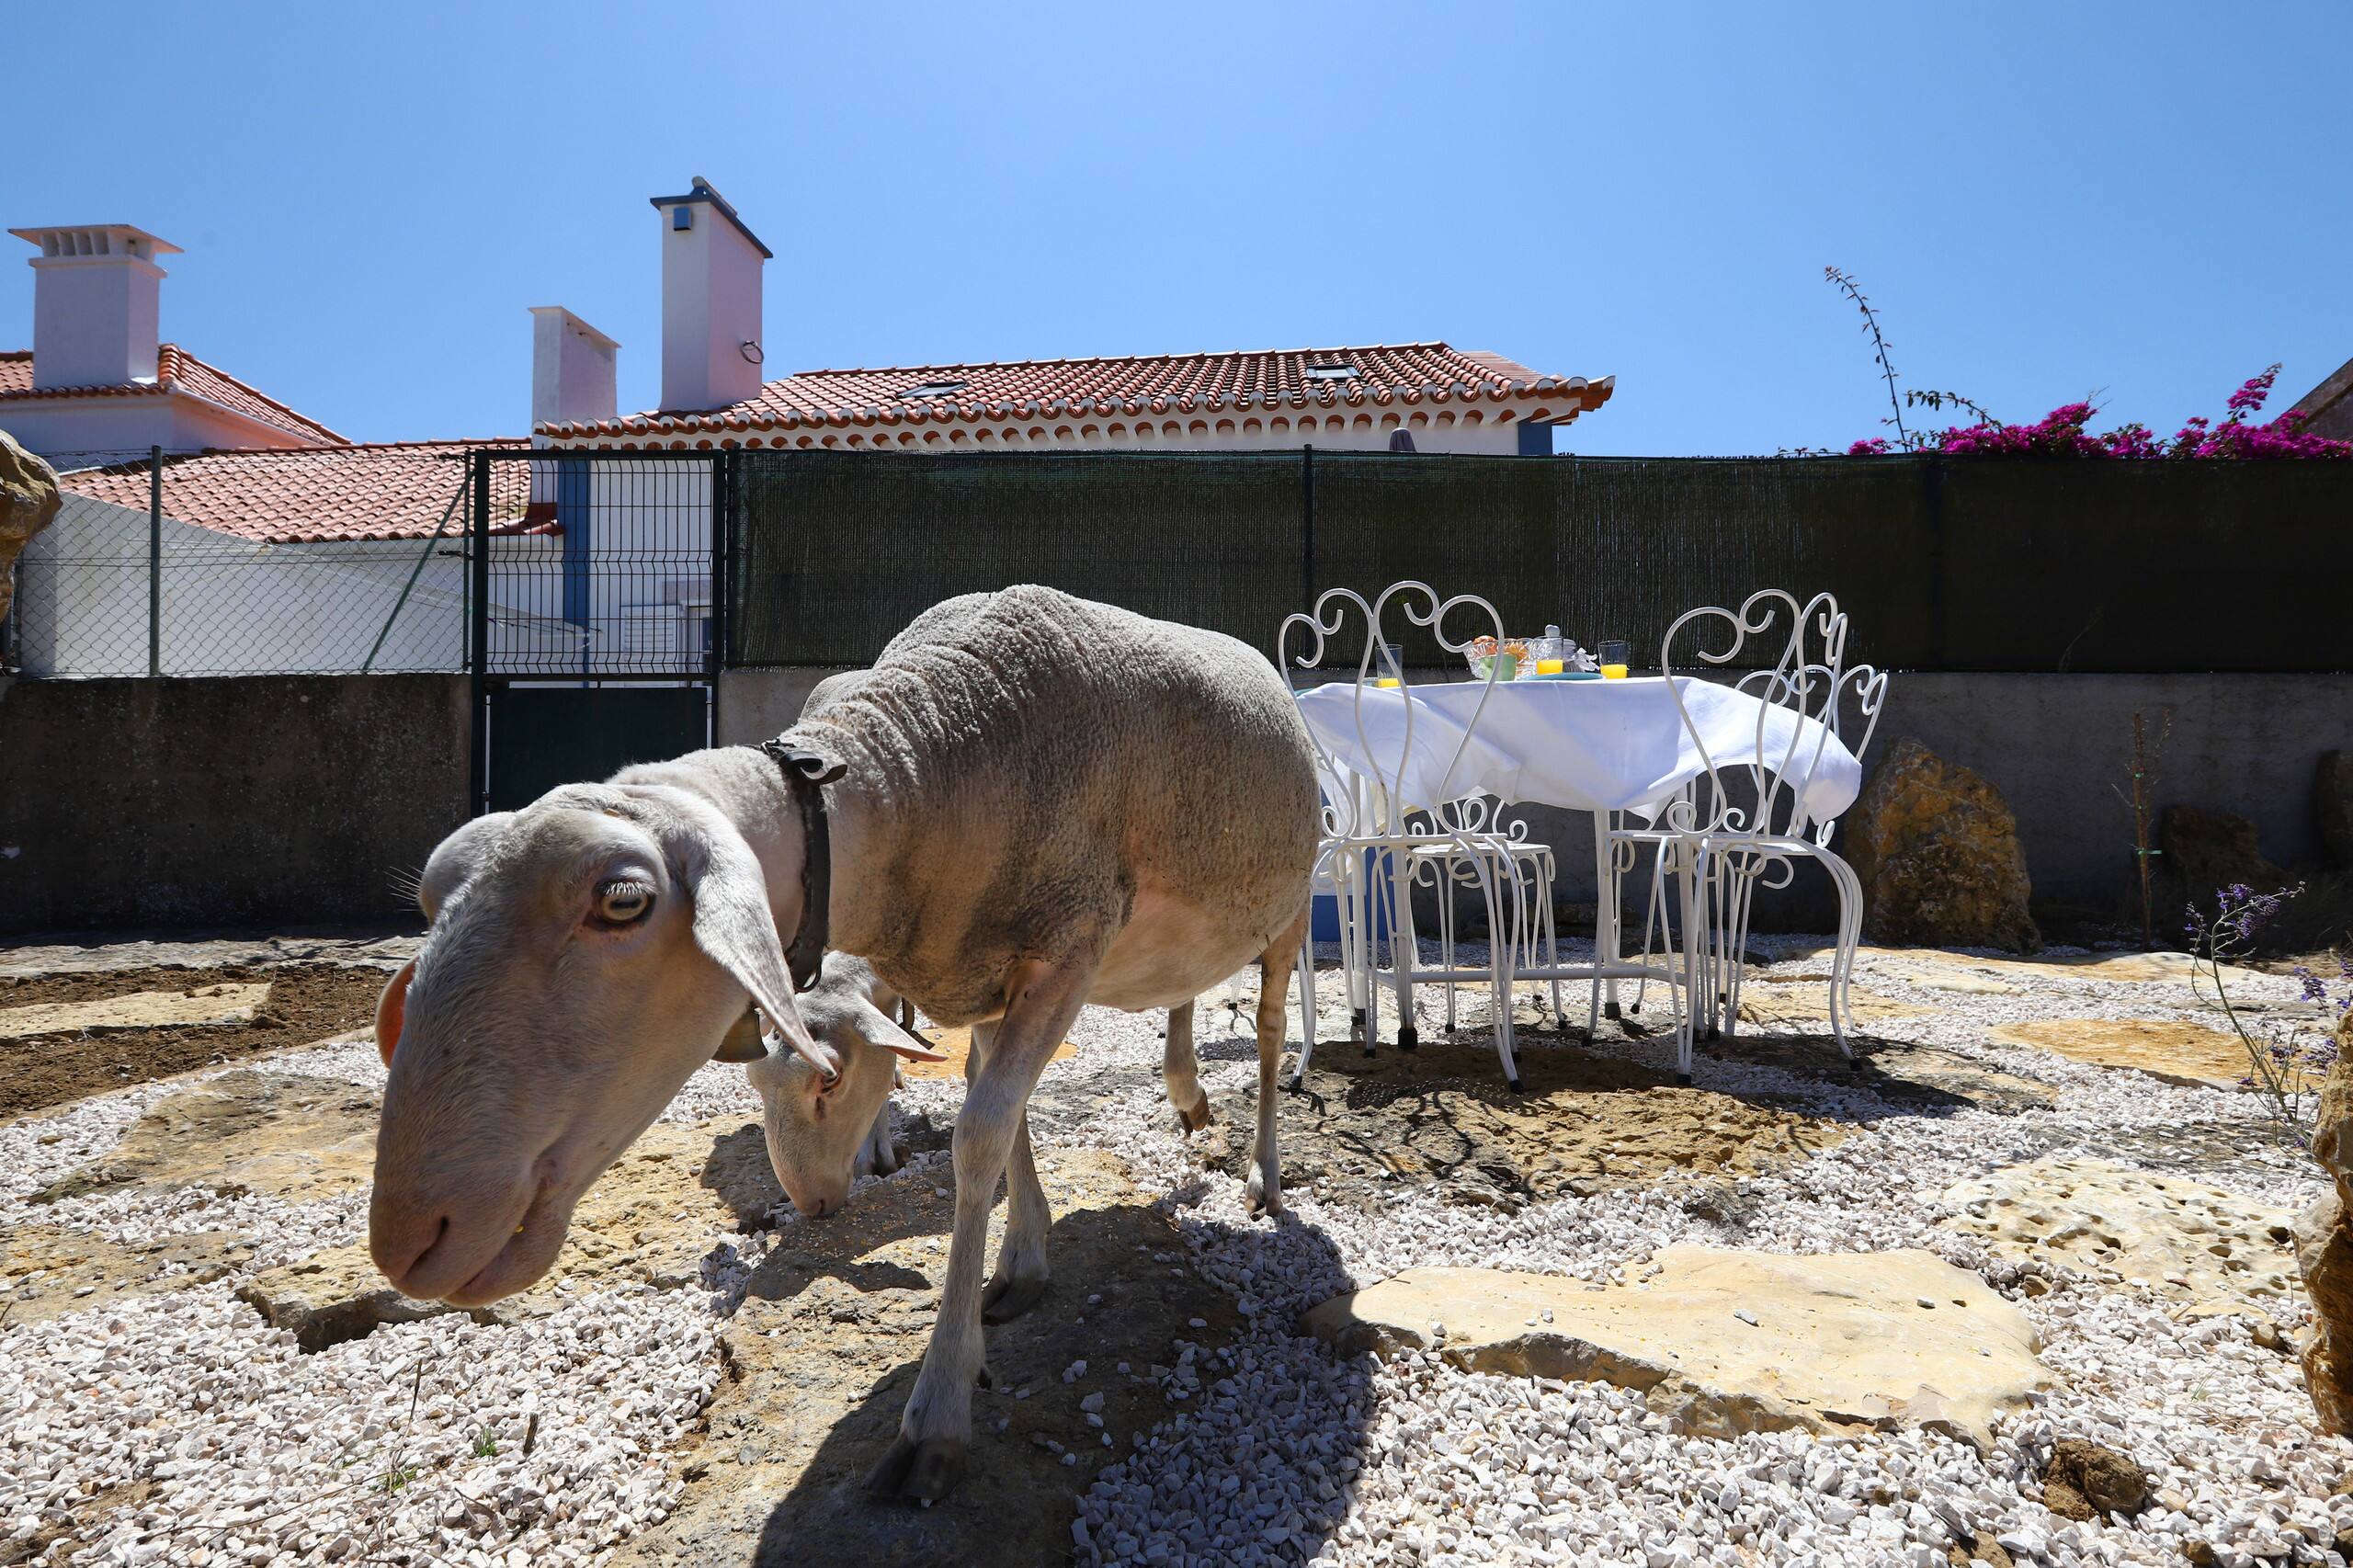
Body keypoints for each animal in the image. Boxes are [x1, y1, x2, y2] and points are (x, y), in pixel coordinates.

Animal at [368, 585, 1319, 1504]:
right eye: (432, 897)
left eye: (623, 900)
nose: (409, 1239)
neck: (920, 766)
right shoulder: (982, 974)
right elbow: (998, 1107)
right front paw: (1024, 1257)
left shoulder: (1068, 949)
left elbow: (979, 1136)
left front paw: (937, 1413)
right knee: (1185, 989)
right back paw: (1187, 1095)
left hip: (1290, 909)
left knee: (1272, 1030)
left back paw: (1264, 1175)